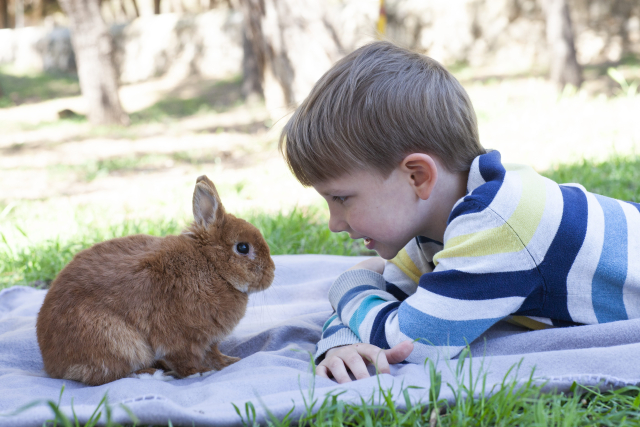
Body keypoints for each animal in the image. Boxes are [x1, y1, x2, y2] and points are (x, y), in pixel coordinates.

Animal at [35, 176, 276, 386]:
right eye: (243, 247)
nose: (272, 274)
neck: (211, 265)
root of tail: (53, 365)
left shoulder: (208, 341)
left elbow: (214, 354)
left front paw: (229, 362)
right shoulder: (180, 338)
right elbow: (185, 360)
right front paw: (199, 373)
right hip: (118, 341)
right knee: (112, 375)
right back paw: (156, 375)